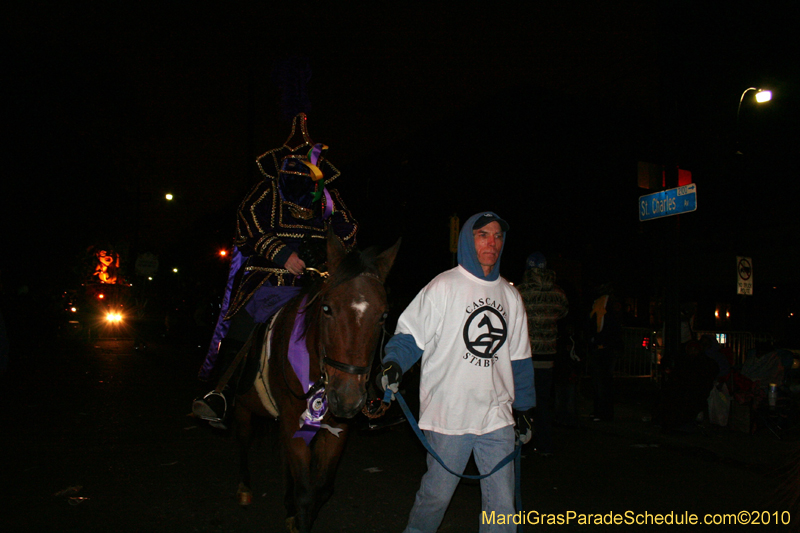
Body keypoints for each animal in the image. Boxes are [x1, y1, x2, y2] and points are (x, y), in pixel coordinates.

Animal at [231, 233, 400, 532]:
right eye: (327, 308)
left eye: (382, 316)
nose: (346, 399)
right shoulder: (292, 421)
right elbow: (305, 494)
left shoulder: (337, 428)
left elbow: (320, 490)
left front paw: (296, 515)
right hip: (243, 406)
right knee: (243, 437)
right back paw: (244, 487)